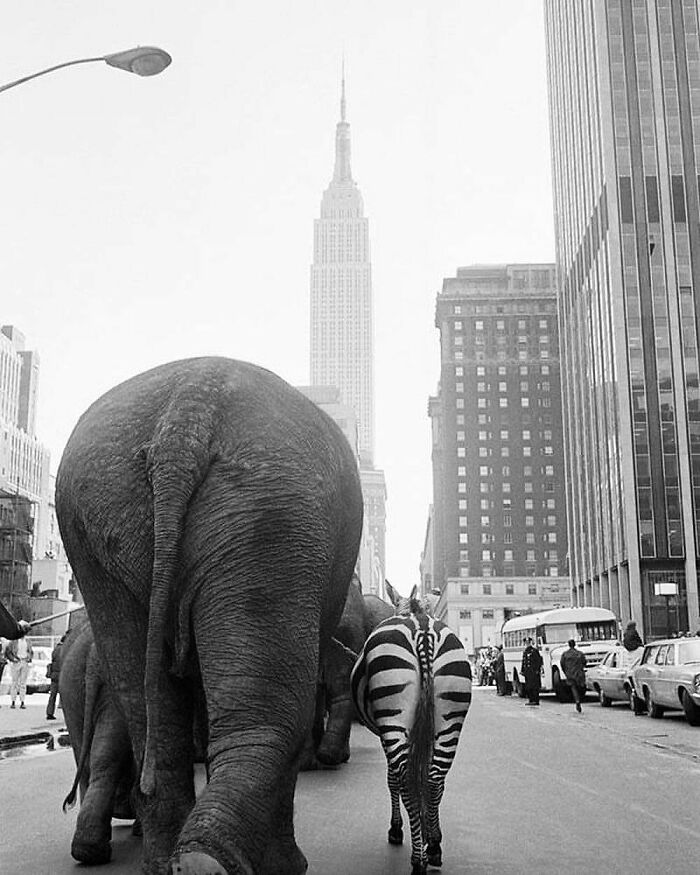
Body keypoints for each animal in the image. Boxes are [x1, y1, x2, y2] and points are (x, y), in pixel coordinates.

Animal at [350, 581, 472, 875]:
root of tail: (422, 628)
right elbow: (427, 777)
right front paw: (430, 833)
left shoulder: (385, 733)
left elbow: (392, 780)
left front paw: (398, 829)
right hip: (450, 717)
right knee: (434, 780)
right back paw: (434, 848)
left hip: (393, 716)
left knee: (405, 780)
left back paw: (418, 860)